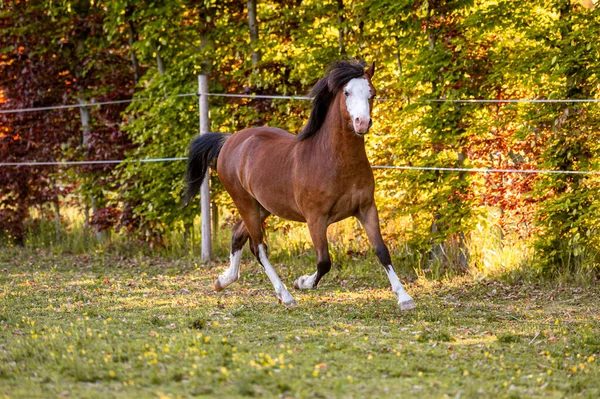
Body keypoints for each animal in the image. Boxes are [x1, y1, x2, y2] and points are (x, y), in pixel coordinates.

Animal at [183, 59, 414, 310]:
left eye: (372, 93)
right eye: (346, 92)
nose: (362, 123)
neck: (333, 160)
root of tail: (229, 141)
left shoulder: (366, 209)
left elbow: (382, 251)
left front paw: (405, 298)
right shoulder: (316, 218)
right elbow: (324, 261)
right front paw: (302, 282)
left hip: (262, 206)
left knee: (238, 235)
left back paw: (222, 281)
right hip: (245, 203)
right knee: (259, 247)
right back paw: (285, 295)